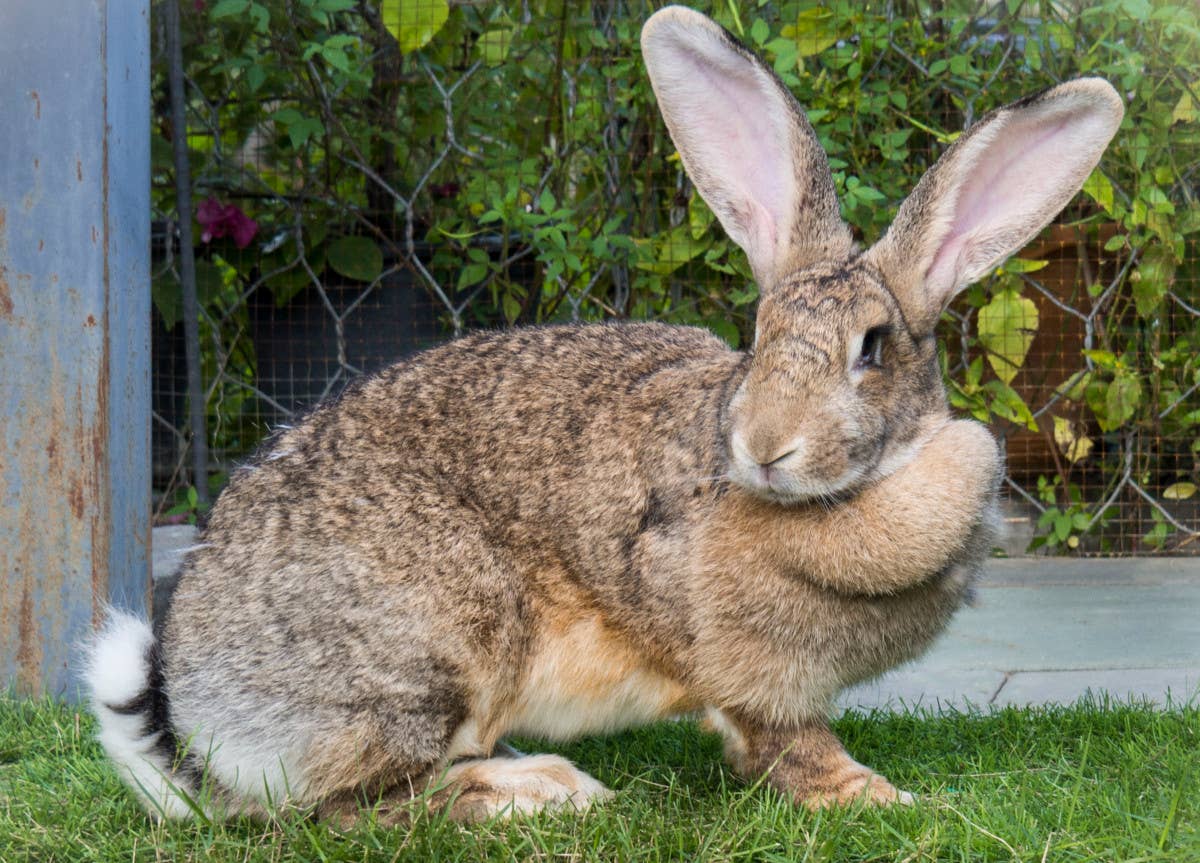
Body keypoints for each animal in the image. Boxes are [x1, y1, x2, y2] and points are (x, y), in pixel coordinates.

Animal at [87, 5, 1124, 824]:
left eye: (873, 348)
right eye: (758, 334)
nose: (764, 447)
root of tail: (200, 712)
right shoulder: (753, 674)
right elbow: (787, 745)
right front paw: (881, 798)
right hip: (430, 646)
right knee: (351, 809)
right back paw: (538, 792)